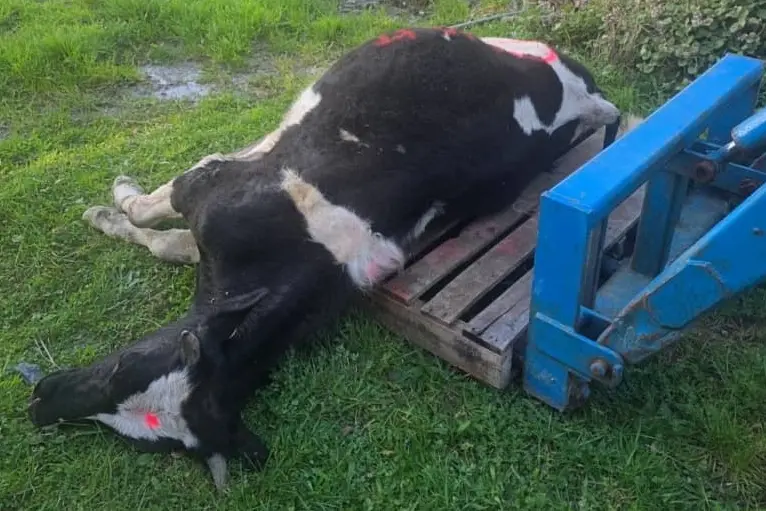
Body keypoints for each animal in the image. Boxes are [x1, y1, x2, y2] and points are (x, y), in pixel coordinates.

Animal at [26, 27, 625, 489]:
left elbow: (158, 225)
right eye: (121, 371)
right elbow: (169, 220)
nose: (37, 405)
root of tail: (587, 94)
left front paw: (109, 207)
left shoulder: (213, 188)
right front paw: (118, 202)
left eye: (142, 438)